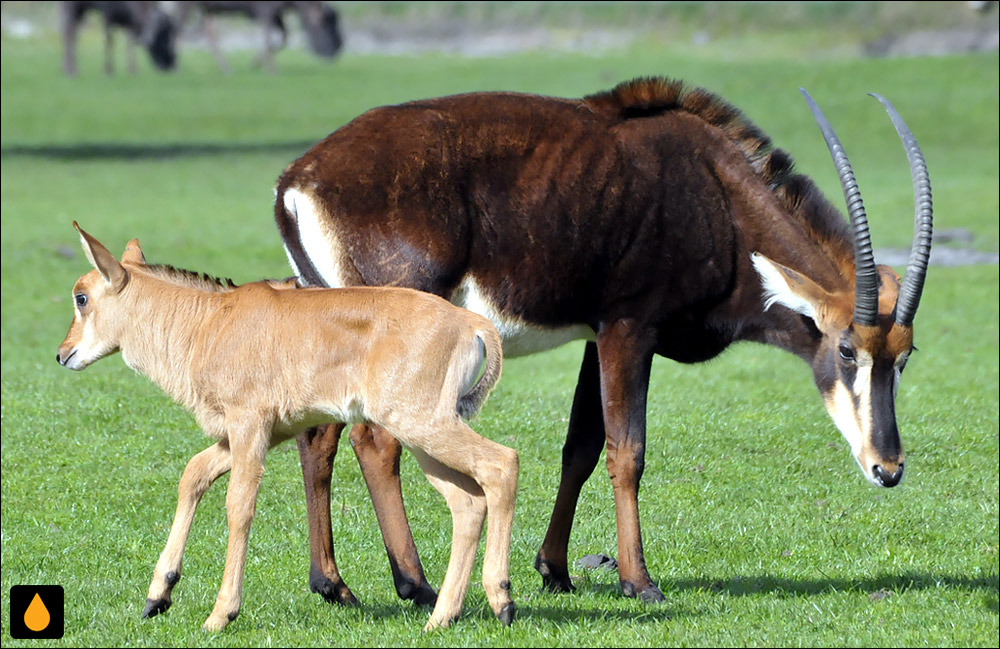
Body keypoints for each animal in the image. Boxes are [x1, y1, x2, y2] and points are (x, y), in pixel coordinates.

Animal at [56, 224, 516, 632]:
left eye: (82, 297)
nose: (63, 354)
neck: (208, 322)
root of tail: (471, 324)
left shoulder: (248, 425)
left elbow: (238, 506)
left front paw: (220, 615)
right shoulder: (255, 435)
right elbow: (193, 474)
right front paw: (158, 596)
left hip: (423, 424)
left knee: (501, 464)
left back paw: (502, 599)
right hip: (422, 438)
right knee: (467, 502)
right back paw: (441, 617)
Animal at [272, 76, 928, 604]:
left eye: (904, 358)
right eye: (846, 349)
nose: (888, 468)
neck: (717, 195)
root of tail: (297, 181)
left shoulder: (596, 336)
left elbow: (581, 447)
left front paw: (556, 571)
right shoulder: (630, 327)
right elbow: (627, 450)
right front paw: (639, 581)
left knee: (319, 437)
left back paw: (334, 585)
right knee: (375, 441)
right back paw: (414, 584)